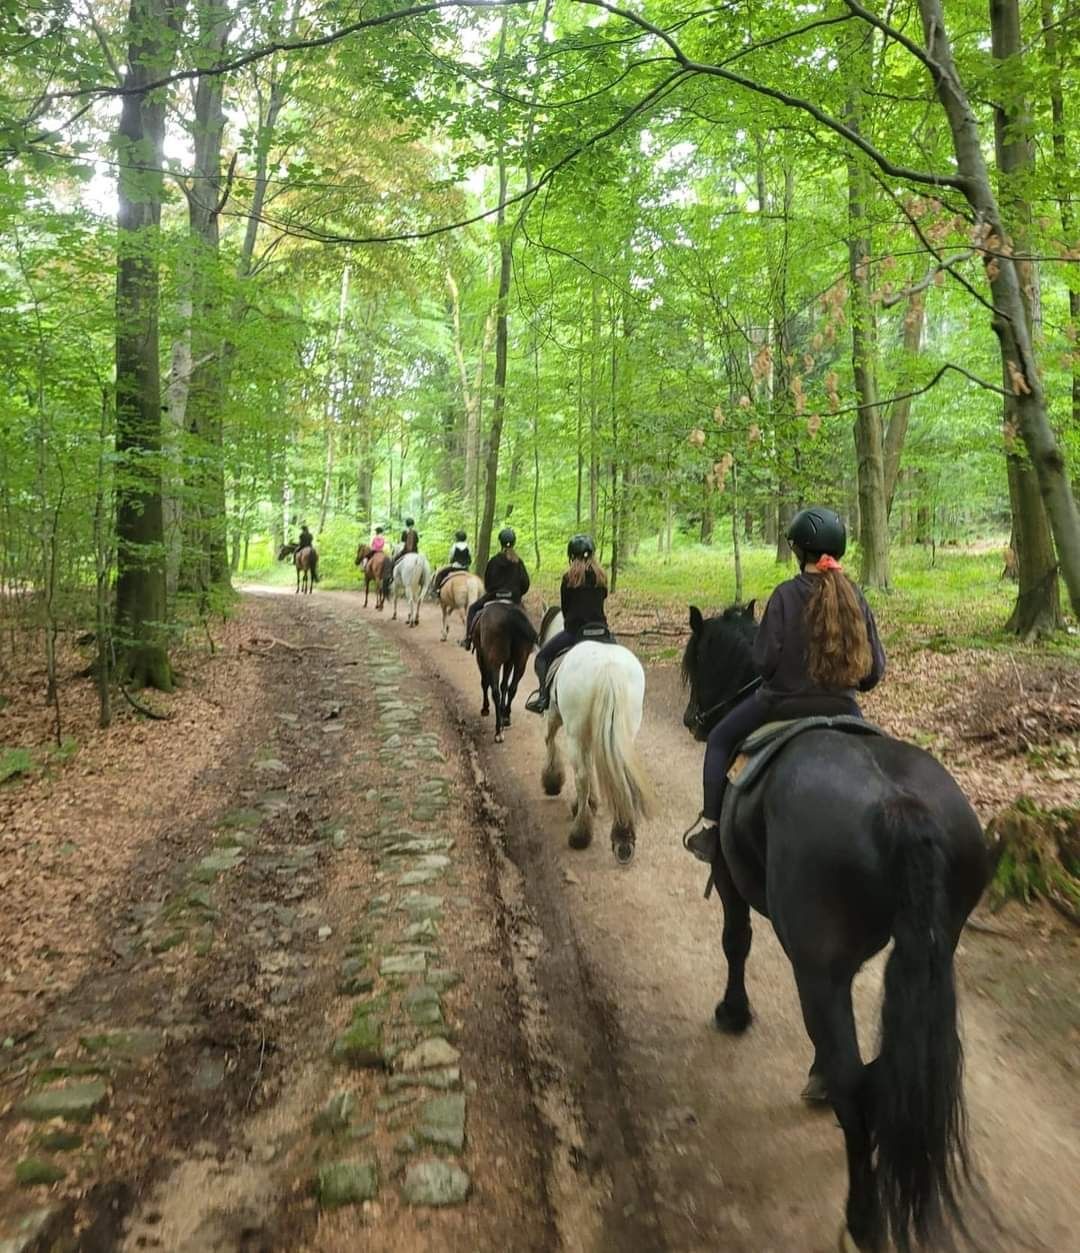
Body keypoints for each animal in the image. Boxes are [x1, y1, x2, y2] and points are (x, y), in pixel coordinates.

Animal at [476, 598, 538, 736]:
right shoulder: (509, 662)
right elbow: (504, 685)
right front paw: (503, 711)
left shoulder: (482, 657)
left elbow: (485, 683)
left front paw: (485, 708)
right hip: (521, 661)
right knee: (512, 688)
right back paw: (506, 717)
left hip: (494, 662)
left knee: (495, 691)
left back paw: (499, 731)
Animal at [536, 608, 656, 862]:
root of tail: (609, 667)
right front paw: (591, 803)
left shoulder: (554, 716)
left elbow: (549, 741)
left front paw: (552, 781)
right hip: (622, 734)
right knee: (621, 776)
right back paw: (623, 838)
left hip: (574, 732)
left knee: (581, 776)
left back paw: (580, 834)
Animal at [686, 601, 997, 1247]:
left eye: (699, 660)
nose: (693, 721)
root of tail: (900, 806)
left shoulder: (731, 883)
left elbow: (735, 942)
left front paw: (733, 1013)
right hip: (929, 949)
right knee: (881, 1074)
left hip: (814, 967)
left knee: (857, 1084)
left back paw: (862, 1213)